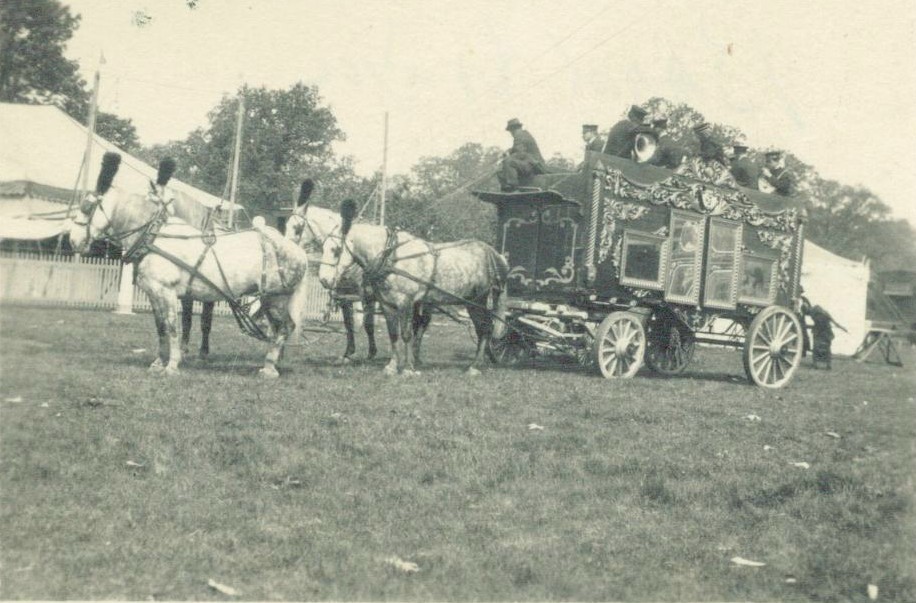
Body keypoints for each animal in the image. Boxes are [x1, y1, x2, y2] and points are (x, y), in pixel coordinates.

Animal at [68, 155, 312, 378]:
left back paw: (269, 367)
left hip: (276, 297)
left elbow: (173, 327)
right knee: (278, 328)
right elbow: (161, 328)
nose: (72, 240)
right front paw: (158, 362)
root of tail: (297, 250)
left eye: (88, 207)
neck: (156, 237)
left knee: (285, 327)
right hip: (269, 300)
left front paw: (172, 365)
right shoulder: (154, 293)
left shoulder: (167, 292)